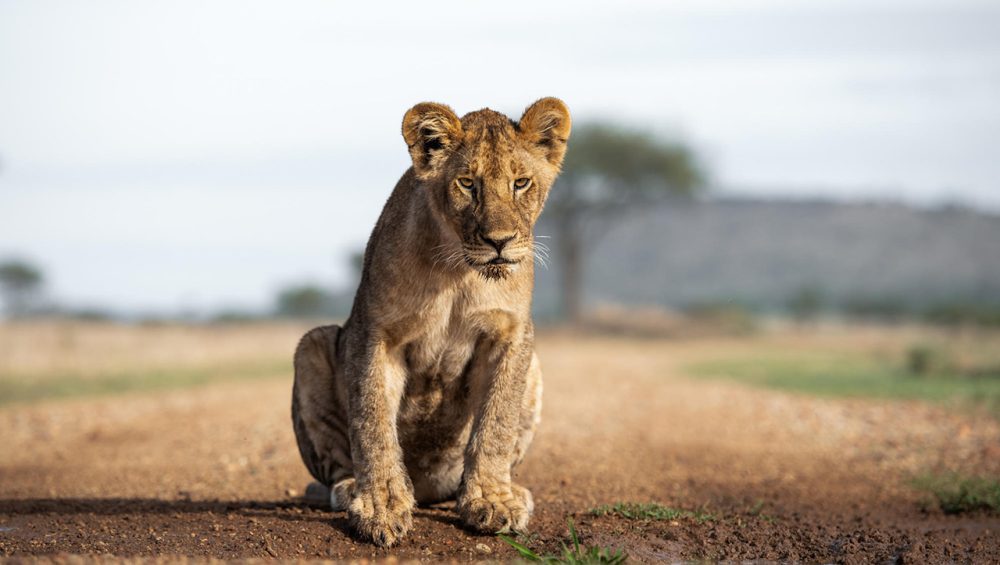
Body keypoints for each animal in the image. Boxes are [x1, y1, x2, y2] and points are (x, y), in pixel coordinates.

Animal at [291, 97, 571, 547]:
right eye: (468, 184)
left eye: (521, 183)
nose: (499, 241)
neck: (460, 272)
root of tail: (426, 489)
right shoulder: (376, 332)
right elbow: (372, 420)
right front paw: (380, 506)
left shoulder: (512, 334)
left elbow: (496, 423)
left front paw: (491, 499)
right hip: (312, 344)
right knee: (337, 468)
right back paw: (352, 489)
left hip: (535, 368)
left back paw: (508, 490)